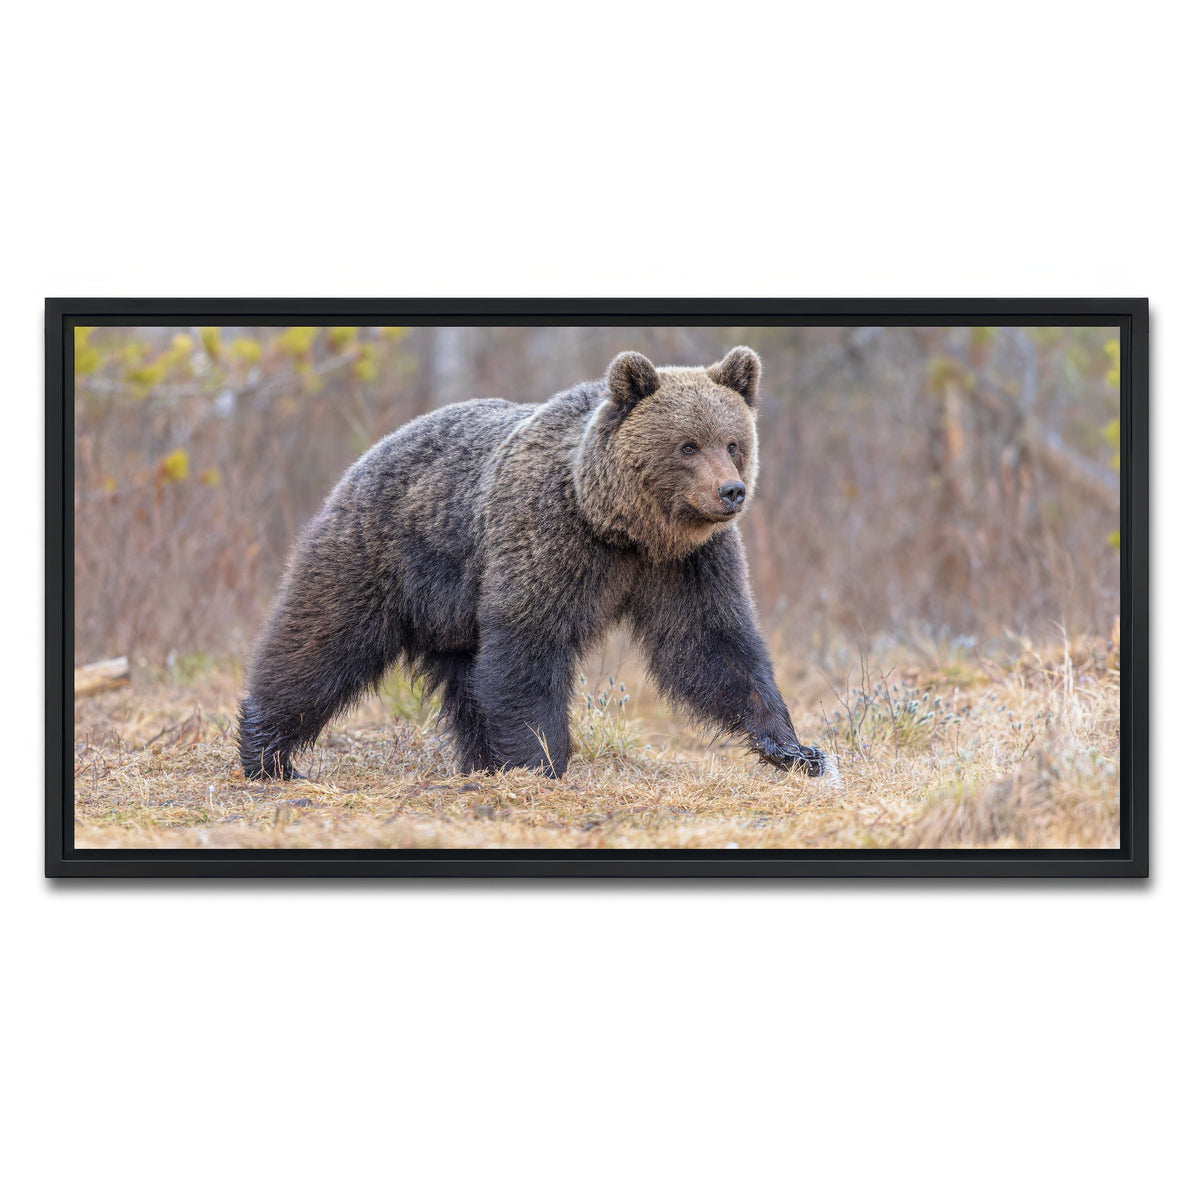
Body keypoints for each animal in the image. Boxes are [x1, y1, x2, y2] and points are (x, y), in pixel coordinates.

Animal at [238, 346, 826, 781]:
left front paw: (795, 748)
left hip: (454, 612)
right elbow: (530, 644)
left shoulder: (689, 562)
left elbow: (714, 644)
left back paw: (480, 763)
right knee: (319, 643)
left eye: (733, 441)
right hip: (382, 554)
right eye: (687, 445)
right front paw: (543, 760)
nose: (731, 492)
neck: (622, 526)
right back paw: (269, 753)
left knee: (467, 681)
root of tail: (372, 451)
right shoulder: (549, 537)